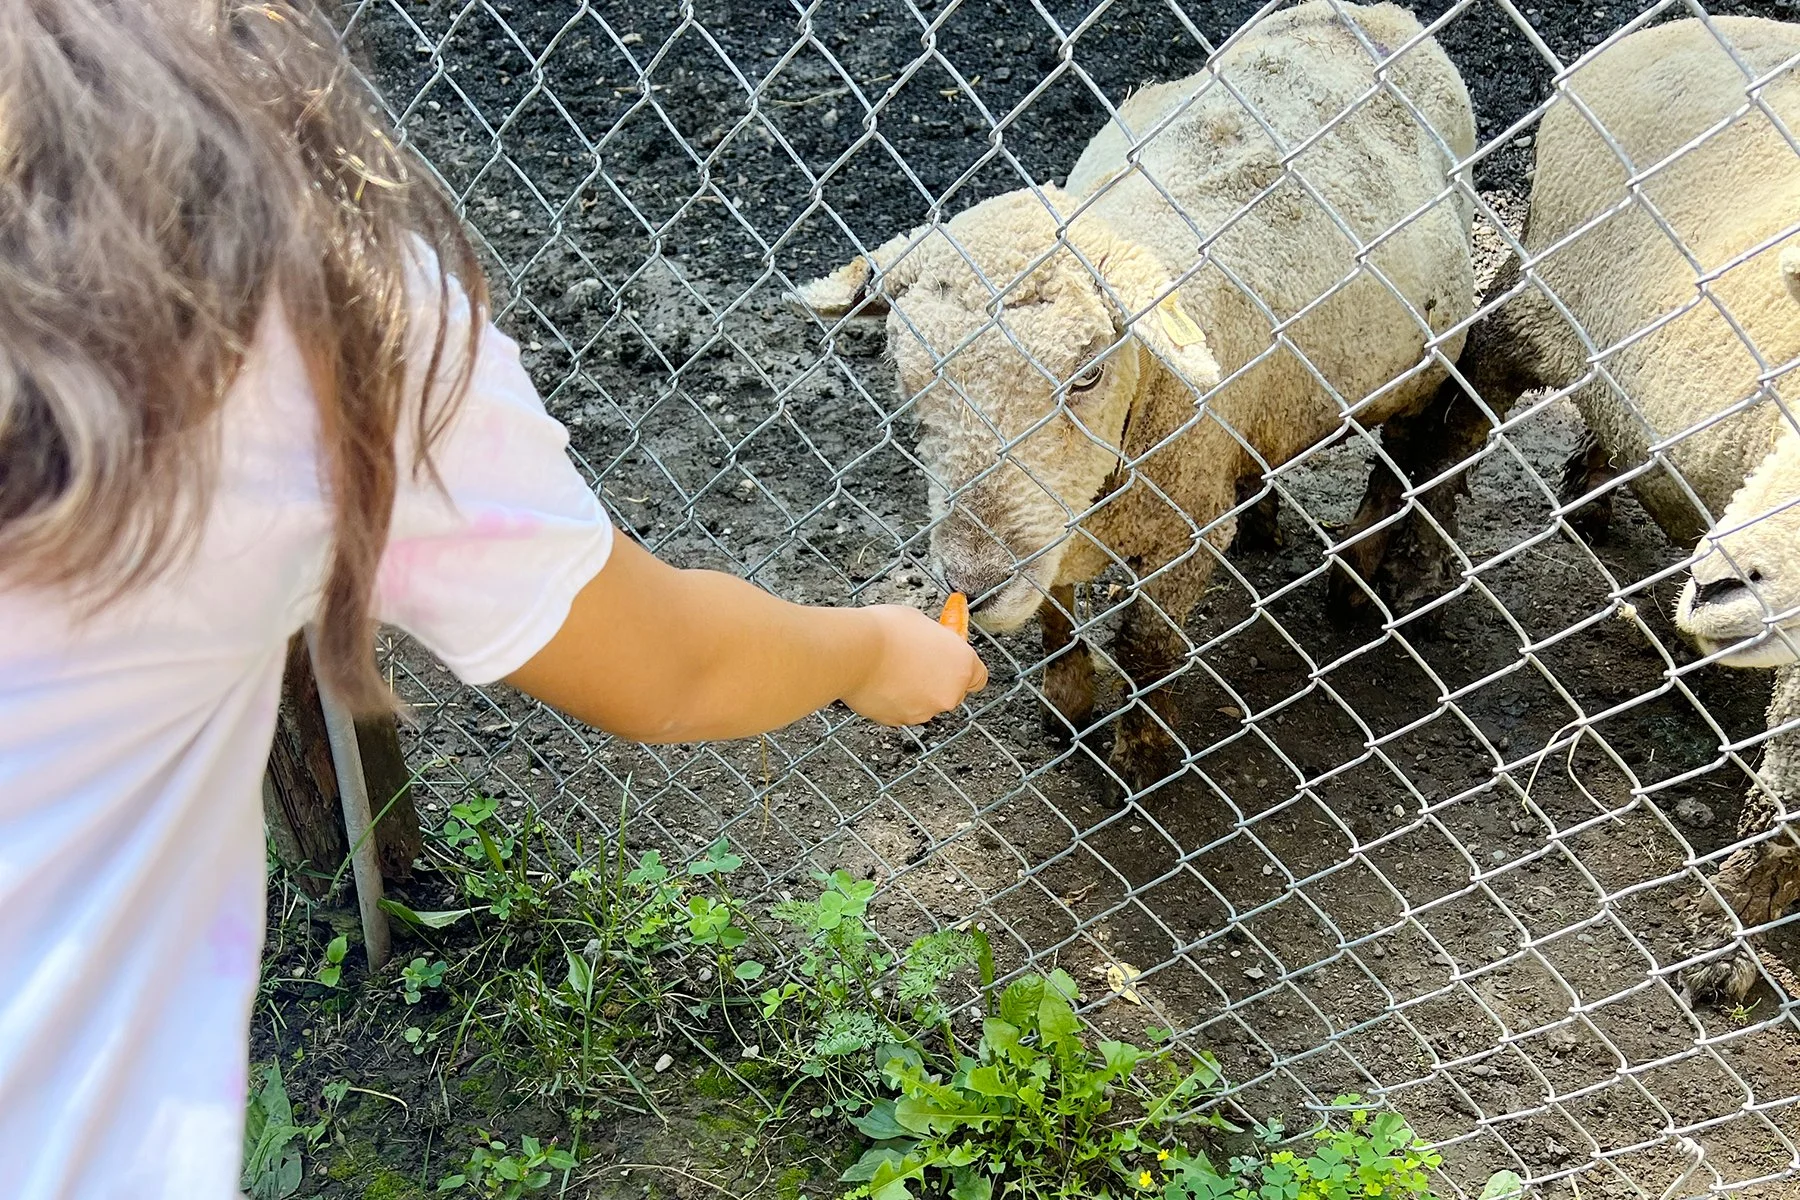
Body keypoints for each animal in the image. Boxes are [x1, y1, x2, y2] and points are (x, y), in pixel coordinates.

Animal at [795, 0, 1477, 793]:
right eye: (905, 375)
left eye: (1089, 373)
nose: (975, 581)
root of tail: (1373, 12)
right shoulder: (1065, 533)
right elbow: (1057, 622)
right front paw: (1065, 706)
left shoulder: (1186, 536)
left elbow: (1147, 647)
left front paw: (1144, 752)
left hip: (1428, 357)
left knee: (1397, 462)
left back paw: (1356, 581)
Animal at [1344, 15, 1800, 1002]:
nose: (1718, 585)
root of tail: (1673, 28)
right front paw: (1727, 948)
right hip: (1546, 285)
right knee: (1453, 410)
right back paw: (1405, 570)